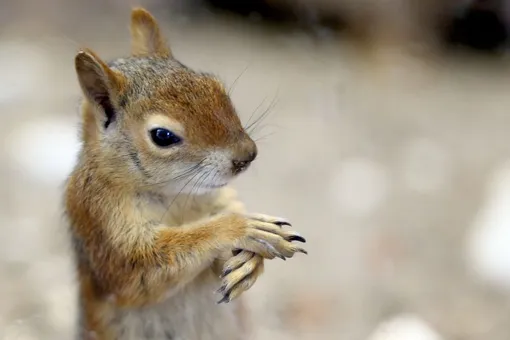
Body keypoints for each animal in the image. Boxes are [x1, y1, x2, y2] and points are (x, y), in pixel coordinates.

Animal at [65, 5, 308, 340]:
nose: (247, 155)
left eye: (214, 85)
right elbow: (141, 271)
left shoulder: (221, 198)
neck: (177, 194)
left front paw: (249, 263)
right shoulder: (102, 226)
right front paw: (244, 228)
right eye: (162, 136)